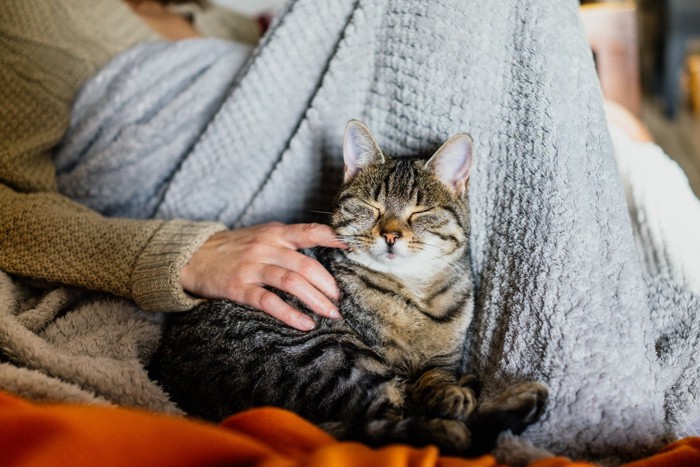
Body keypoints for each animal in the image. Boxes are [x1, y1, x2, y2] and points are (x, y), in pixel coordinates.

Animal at [150, 120, 548, 458]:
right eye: (372, 207)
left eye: (419, 212)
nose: (391, 235)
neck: (417, 294)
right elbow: (421, 391)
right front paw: (451, 397)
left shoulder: (444, 358)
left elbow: (435, 374)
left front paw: (449, 387)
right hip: (329, 353)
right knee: (392, 422)